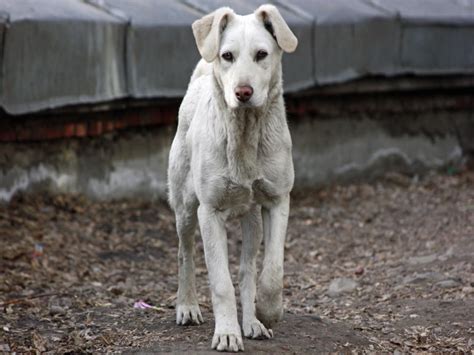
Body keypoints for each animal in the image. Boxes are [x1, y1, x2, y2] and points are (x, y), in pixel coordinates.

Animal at [168, 4, 296, 354]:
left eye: (262, 54)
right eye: (227, 56)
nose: (243, 92)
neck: (245, 134)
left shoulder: (278, 200)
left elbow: (272, 271)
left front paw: (267, 312)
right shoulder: (209, 212)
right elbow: (221, 282)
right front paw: (226, 333)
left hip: (251, 220)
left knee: (248, 269)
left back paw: (251, 322)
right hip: (185, 208)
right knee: (185, 254)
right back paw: (187, 306)